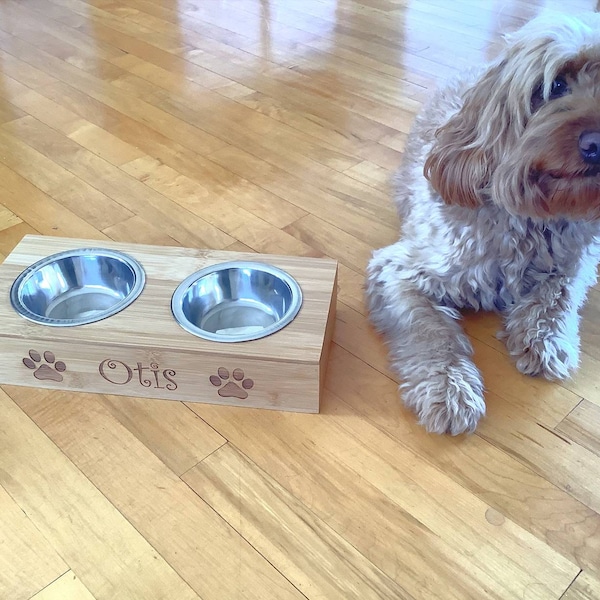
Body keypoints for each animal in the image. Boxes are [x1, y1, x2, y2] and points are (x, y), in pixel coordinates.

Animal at [366, 12, 600, 436]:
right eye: (555, 85)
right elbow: (431, 330)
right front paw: (448, 387)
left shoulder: (576, 261)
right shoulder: (400, 271)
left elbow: (556, 295)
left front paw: (545, 338)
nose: (597, 144)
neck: (526, 221)